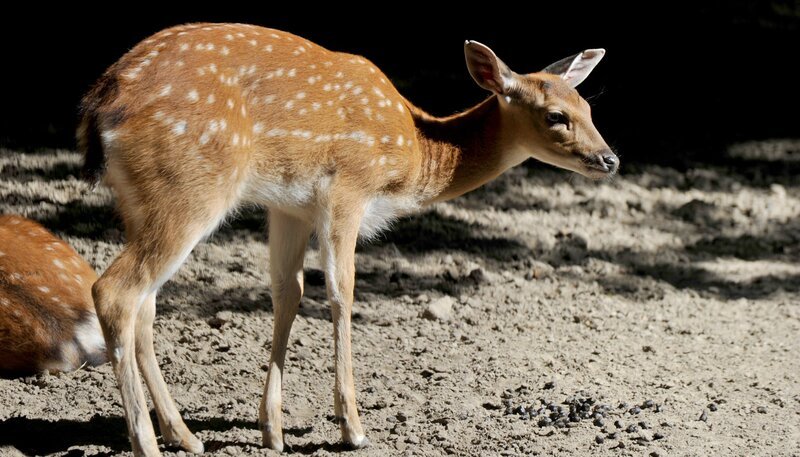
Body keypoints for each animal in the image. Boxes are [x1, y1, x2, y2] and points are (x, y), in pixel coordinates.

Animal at [77, 22, 616, 455]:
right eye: (555, 115)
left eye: (589, 107)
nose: (610, 159)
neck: (415, 155)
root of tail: (100, 104)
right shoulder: (347, 189)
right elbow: (342, 292)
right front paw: (352, 428)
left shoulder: (289, 206)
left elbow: (288, 292)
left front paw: (272, 430)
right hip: (190, 187)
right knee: (115, 291)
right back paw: (146, 442)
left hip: (141, 201)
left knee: (145, 304)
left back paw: (182, 434)